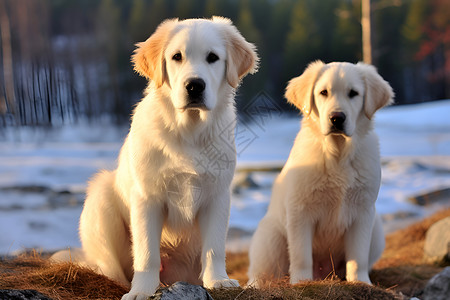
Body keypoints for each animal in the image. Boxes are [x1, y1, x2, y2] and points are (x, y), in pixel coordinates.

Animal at [248, 60, 392, 286]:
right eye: (323, 92)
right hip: (270, 237)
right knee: (261, 273)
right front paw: (300, 282)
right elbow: (301, 255)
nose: (337, 118)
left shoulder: (363, 212)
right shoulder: (300, 211)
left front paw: (360, 282)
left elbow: (358, 256)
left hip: (377, 231)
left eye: (353, 93)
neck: (338, 154)